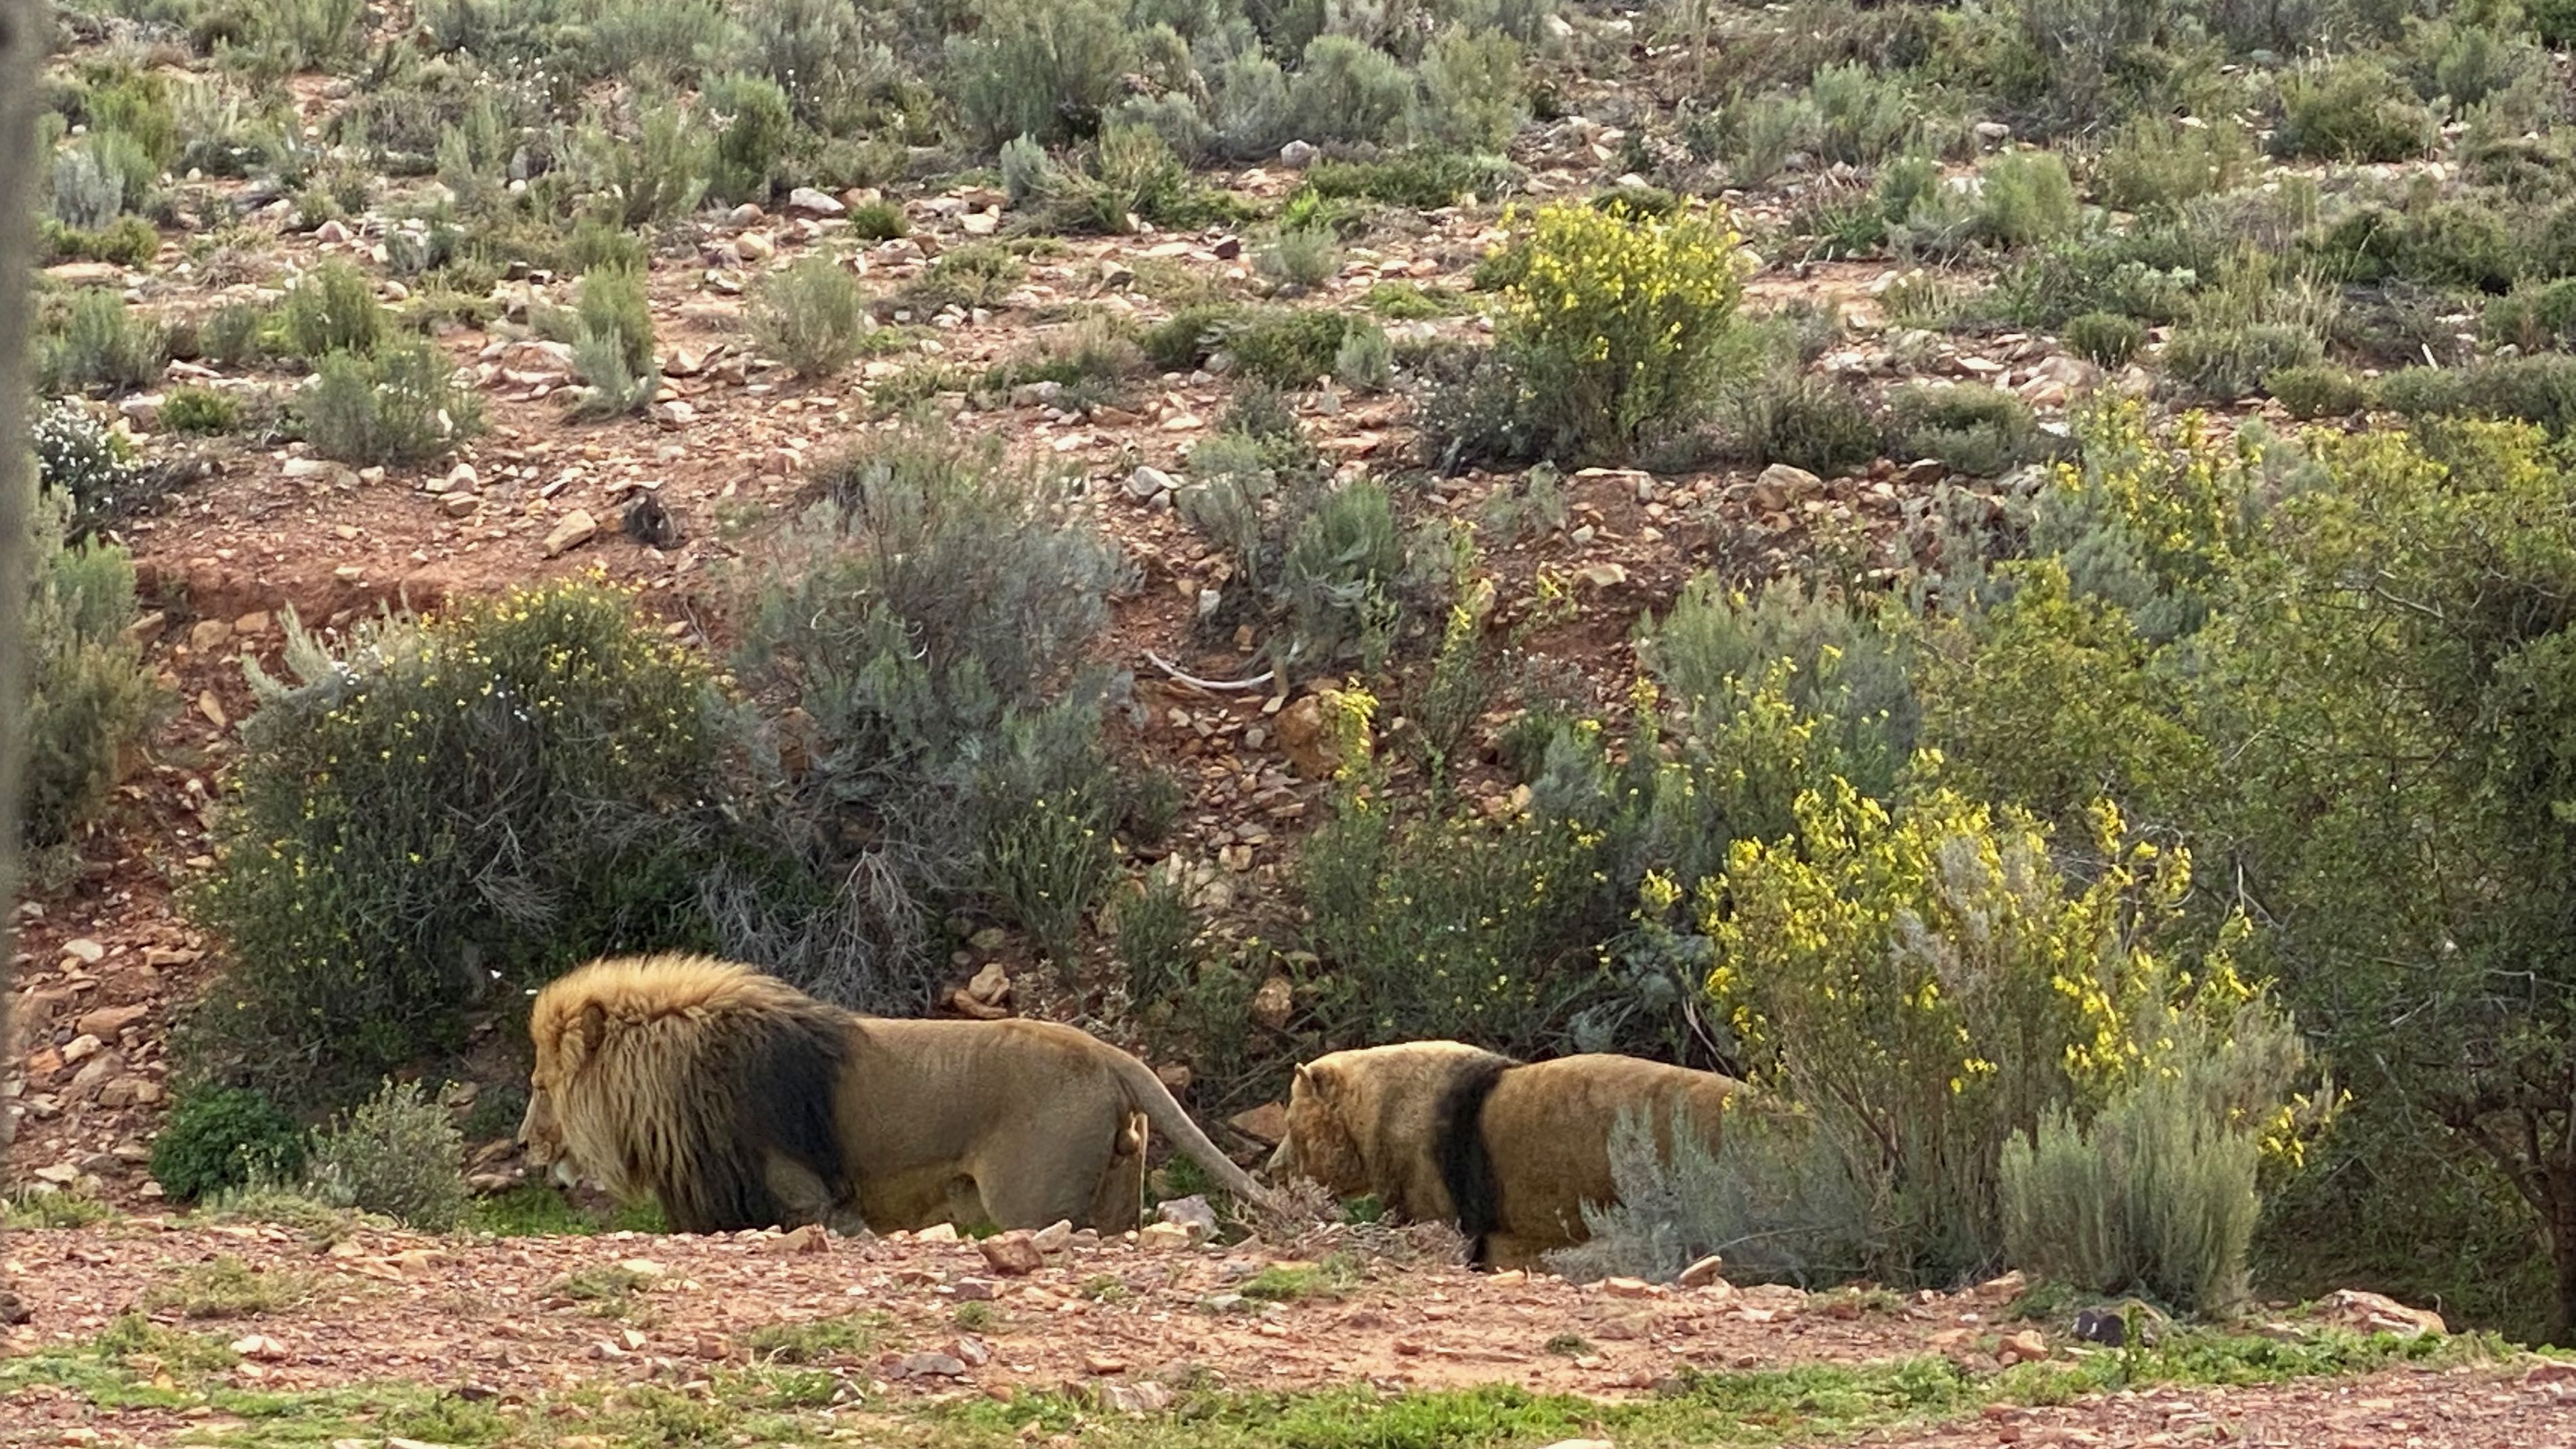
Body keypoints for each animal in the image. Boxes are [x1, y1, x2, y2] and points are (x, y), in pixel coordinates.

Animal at [517, 953, 1277, 1236]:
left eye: (540, 1087)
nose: (524, 1144)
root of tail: (1110, 1054)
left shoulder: (807, 1200)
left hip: (1033, 1202)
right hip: (1114, 1196)